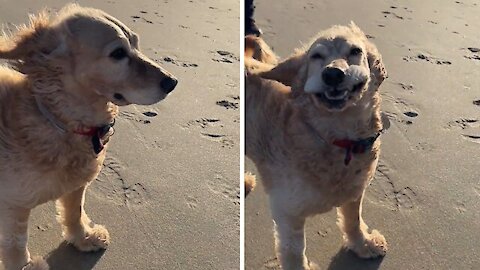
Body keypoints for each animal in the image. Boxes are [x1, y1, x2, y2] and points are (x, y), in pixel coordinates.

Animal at [0, 4, 177, 270]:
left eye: (136, 44)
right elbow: (15, 245)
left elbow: (75, 211)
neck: (59, 122)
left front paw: (83, 238)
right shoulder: (13, 204)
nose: (172, 82)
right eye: (118, 53)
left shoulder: (77, 185)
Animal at [246, 22, 388, 268]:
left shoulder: (354, 190)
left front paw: (364, 244)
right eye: (316, 56)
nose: (332, 73)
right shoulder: (287, 210)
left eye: (355, 51)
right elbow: (293, 251)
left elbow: (353, 220)